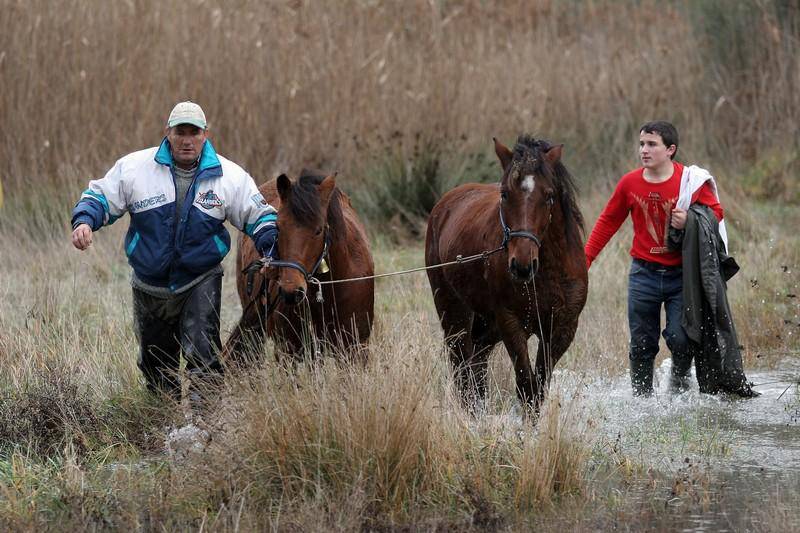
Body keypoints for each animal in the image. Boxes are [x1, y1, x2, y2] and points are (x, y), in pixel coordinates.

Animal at [424, 135, 588, 414]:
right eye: (504, 194)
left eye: (549, 195)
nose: (521, 265)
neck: (547, 274)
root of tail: (444, 205)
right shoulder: (510, 322)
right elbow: (526, 386)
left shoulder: (561, 328)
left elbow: (539, 387)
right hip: (454, 313)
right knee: (463, 369)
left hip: (487, 326)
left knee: (476, 367)